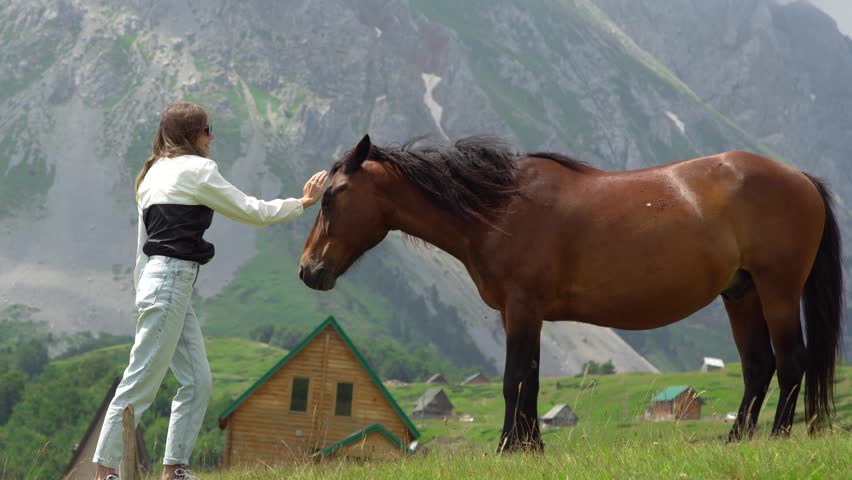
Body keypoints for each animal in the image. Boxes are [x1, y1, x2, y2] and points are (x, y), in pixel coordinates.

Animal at [299, 134, 844, 451]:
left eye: (330, 197)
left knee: (790, 363)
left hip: (777, 290)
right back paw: (736, 439)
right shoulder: (525, 314)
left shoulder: (522, 309)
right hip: (741, 294)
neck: (499, 206)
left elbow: (514, 379)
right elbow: (532, 381)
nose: (308, 270)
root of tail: (801, 178)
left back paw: (775, 438)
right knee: (759, 367)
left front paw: (508, 447)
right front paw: (531, 447)